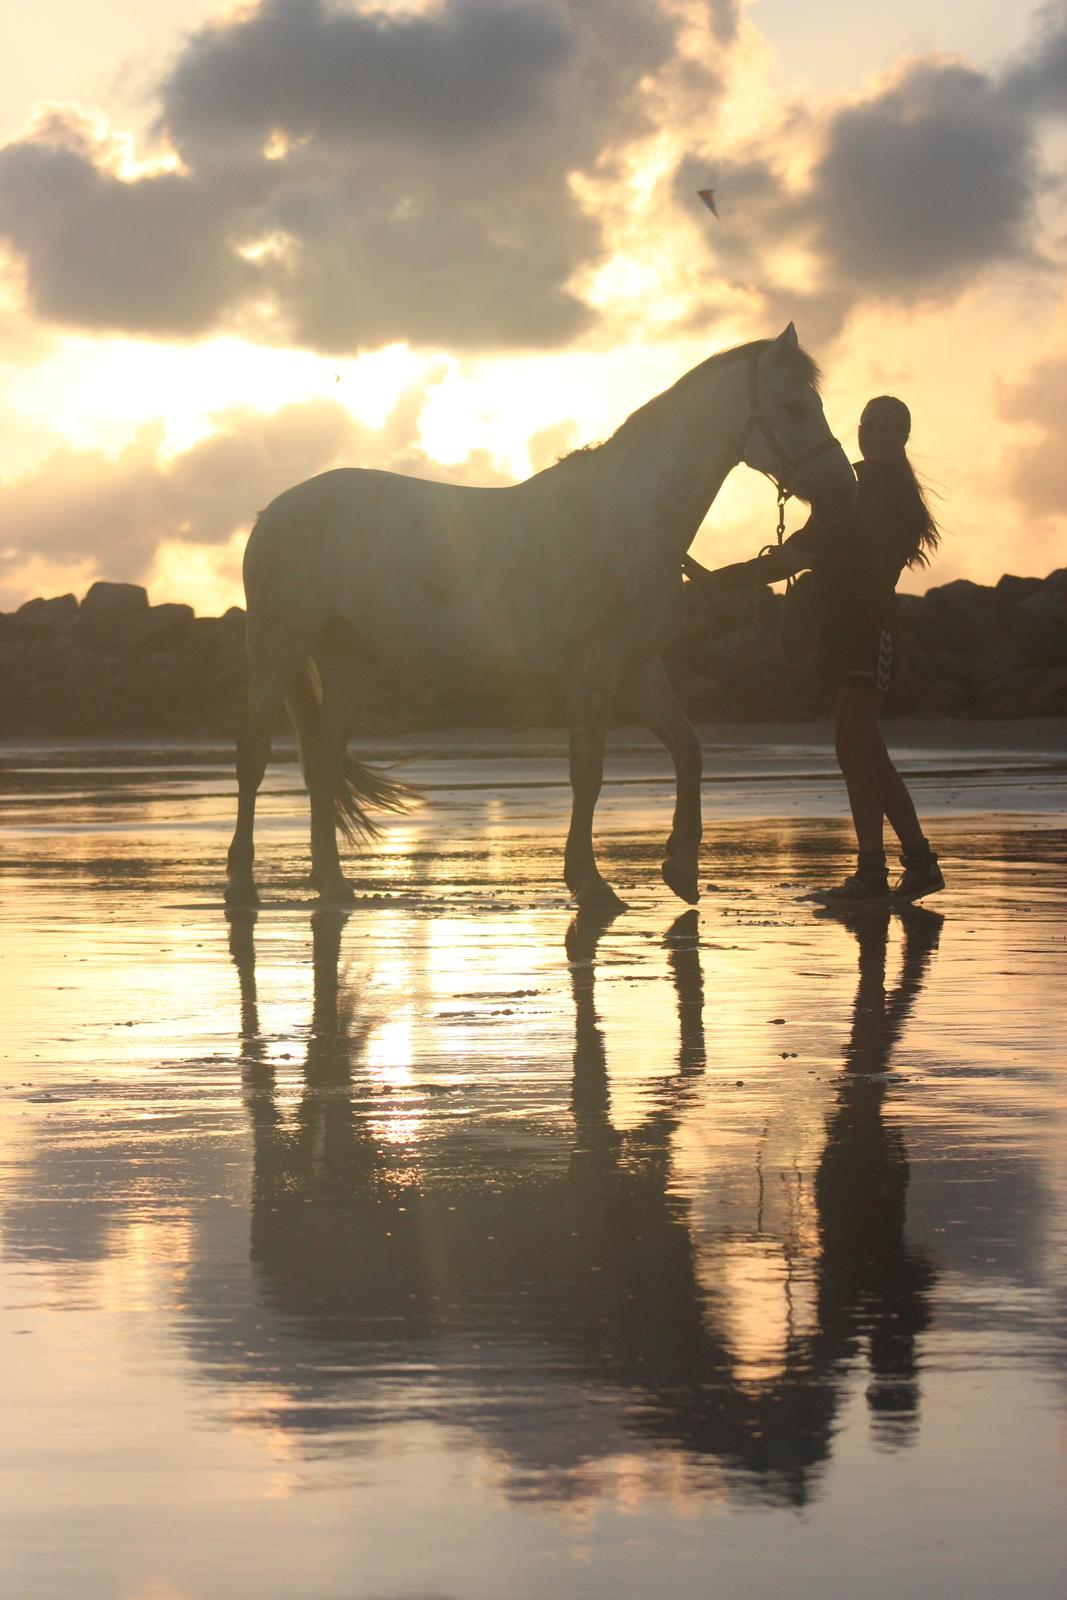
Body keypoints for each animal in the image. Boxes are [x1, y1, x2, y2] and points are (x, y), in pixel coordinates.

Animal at [230, 321, 857, 915]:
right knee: (254, 759)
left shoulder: (639, 669)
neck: (632, 517)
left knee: (321, 761)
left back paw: (334, 884)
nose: (842, 489)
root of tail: (272, 513)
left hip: (347, 664)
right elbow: (588, 773)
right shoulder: (593, 673)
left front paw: (680, 867)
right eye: (794, 406)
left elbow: (688, 749)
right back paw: (242, 882)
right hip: (277, 648)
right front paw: (590, 883)